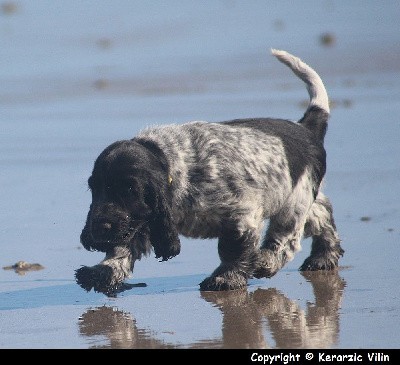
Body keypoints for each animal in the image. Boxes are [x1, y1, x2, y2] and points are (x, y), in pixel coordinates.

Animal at [76, 49, 344, 296]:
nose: (99, 228)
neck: (174, 163)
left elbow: (233, 249)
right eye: (95, 188)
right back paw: (324, 256)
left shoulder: (241, 216)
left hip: (294, 201)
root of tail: (306, 127)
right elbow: (123, 250)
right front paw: (100, 273)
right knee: (322, 214)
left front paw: (225, 278)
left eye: (129, 189)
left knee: (288, 238)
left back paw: (267, 261)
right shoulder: (143, 220)